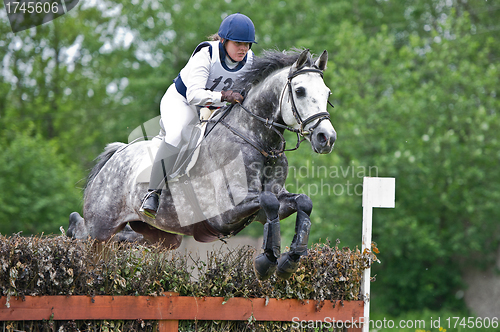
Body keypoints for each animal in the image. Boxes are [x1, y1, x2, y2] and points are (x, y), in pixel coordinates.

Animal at [68, 48, 336, 278]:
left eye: (327, 93)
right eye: (300, 91)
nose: (327, 138)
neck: (258, 140)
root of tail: (116, 154)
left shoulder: (271, 203)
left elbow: (302, 202)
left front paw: (288, 261)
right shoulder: (225, 213)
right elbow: (268, 202)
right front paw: (266, 262)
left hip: (160, 235)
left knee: (125, 240)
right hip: (101, 227)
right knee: (85, 234)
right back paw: (71, 234)